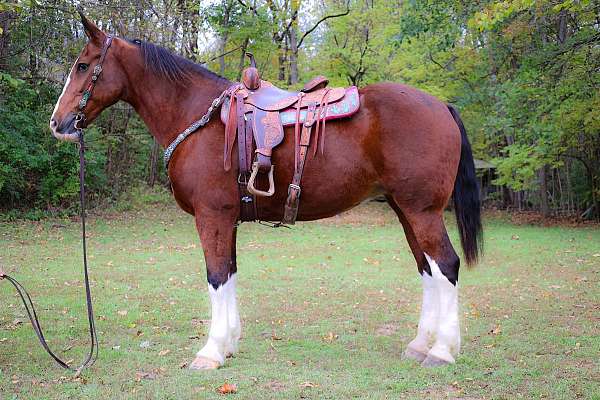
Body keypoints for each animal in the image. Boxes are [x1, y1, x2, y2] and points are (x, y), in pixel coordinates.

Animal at [50, 14, 482, 368]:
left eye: (83, 66)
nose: (57, 122)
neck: (198, 115)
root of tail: (441, 106)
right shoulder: (227, 218)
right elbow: (229, 273)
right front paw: (228, 344)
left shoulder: (212, 215)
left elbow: (216, 275)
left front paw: (211, 351)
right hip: (405, 209)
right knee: (427, 269)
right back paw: (421, 344)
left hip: (422, 211)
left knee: (446, 265)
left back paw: (442, 351)